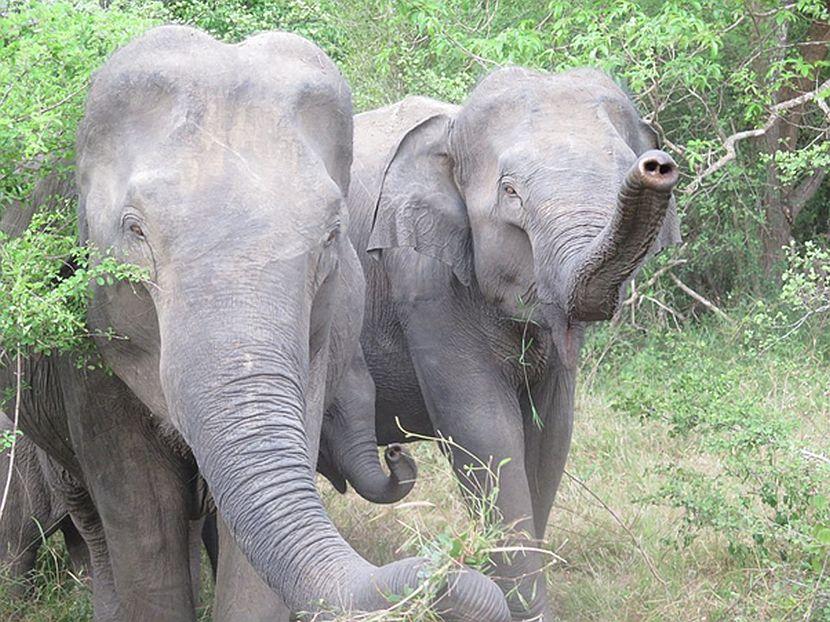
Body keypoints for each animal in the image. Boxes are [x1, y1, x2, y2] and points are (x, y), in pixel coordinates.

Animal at [0, 25, 510, 622]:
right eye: (135, 231)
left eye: (332, 235)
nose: (399, 455)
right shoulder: (87, 350)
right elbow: (143, 520)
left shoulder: (316, 345)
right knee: (95, 523)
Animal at [328, 66, 684, 620]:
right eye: (511, 191)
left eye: (622, 169)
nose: (658, 165)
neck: (450, 130)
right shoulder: (424, 281)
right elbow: (485, 432)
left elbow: (550, 433)